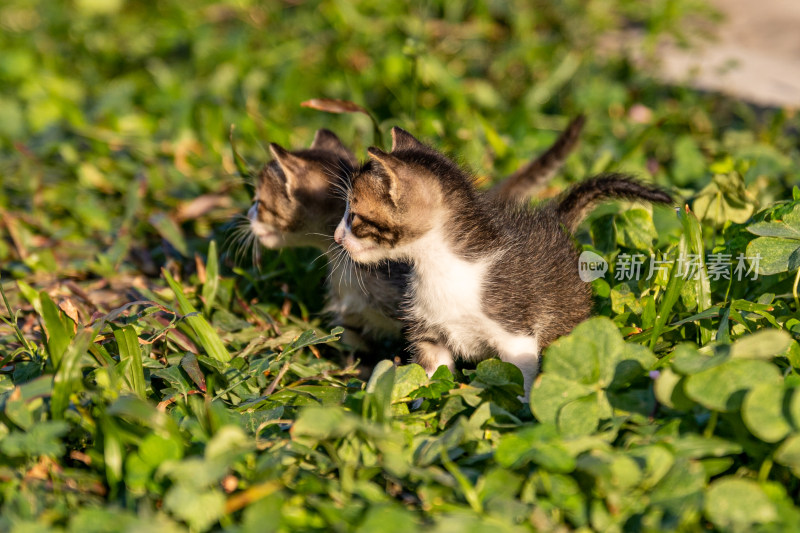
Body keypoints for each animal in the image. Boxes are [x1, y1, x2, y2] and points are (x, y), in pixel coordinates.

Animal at [334, 128, 672, 394]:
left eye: (354, 215)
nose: (337, 237)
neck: (442, 267)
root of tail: (555, 220)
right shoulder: (429, 334)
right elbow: (430, 377)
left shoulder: (515, 334)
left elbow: (519, 378)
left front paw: (525, 412)